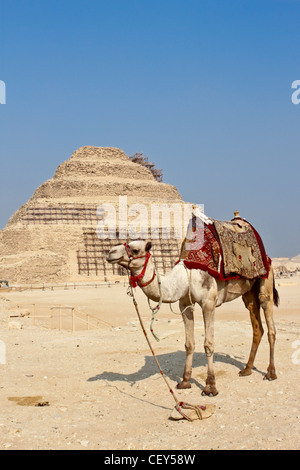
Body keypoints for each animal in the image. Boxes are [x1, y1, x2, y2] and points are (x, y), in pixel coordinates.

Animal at [106, 239, 278, 396]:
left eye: (135, 250)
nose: (110, 253)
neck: (184, 277)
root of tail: (267, 257)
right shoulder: (184, 304)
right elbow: (189, 344)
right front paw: (185, 381)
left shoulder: (208, 302)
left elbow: (208, 344)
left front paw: (210, 387)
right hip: (248, 292)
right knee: (257, 326)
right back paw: (247, 369)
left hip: (265, 282)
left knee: (270, 323)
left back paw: (270, 373)